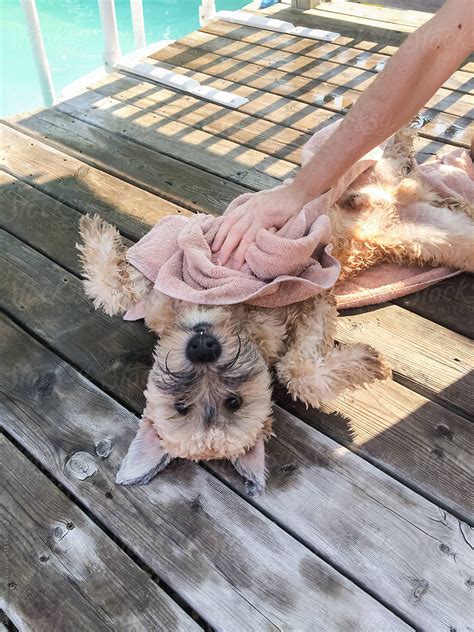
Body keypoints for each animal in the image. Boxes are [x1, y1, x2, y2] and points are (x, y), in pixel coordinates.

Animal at [78, 127, 474, 494]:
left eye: (232, 402)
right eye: (183, 407)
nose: (202, 347)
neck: (232, 317)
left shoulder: (167, 280)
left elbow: (114, 288)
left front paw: (94, 229)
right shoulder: (315, 302)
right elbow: (296, 372)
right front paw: (367, 363)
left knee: (391, 156)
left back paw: (403, 141)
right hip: (441, 237)